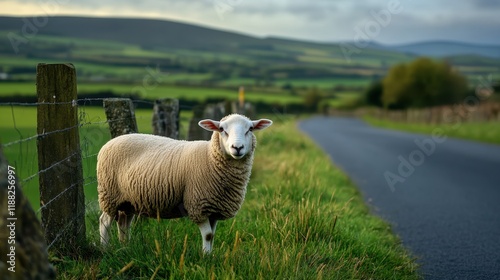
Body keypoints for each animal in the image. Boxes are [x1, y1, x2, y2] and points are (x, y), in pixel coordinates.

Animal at [95, 112, 272, 253]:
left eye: (250, 129)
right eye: (222, 129)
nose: (237, 147)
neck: (209, 158)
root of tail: (110, 142)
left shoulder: (214, 208)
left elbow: (212, 235)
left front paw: (211, 256)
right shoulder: (198, 205)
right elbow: (208, 235)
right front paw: (205, 257)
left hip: (128, 201)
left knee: (124, 224)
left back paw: (125, 247)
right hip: (109, 194)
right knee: (104, 222)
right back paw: (105, 249)